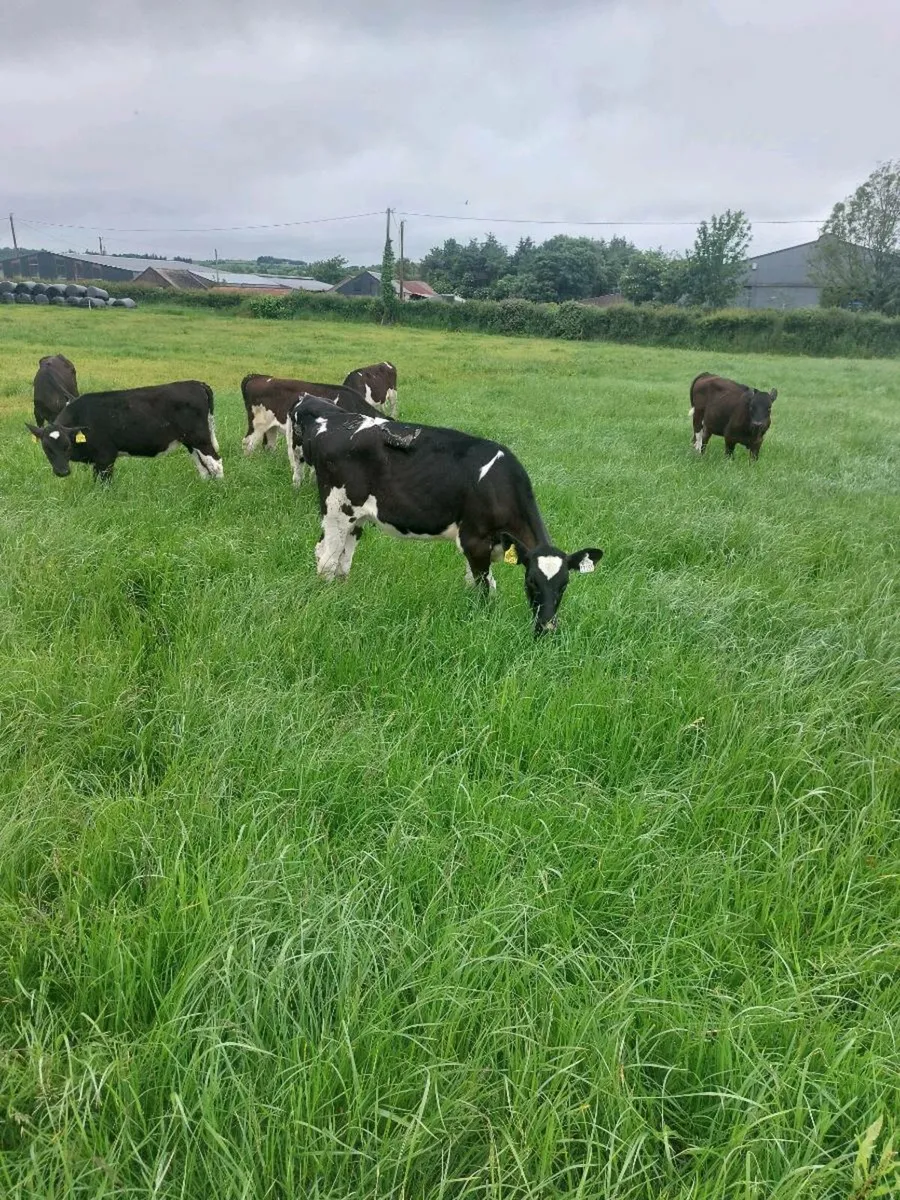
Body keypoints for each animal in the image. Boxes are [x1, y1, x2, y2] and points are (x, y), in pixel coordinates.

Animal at [26, 380, 223, 483]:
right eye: (46, 448)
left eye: (66, 446)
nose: (62, 472)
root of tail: (196, 383)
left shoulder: (105, 456)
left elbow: (103, 482)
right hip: (190, 441)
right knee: (202, 465)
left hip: (200, 438)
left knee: (215, 462)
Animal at [241, 372, 381, 484]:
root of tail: (256, 376)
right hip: (257, 424)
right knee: (248, 443)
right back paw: (248, 462)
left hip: (271, 428)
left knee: (269, 446)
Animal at [291, 395, 603, 636]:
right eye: (531, 582)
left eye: (564, 585)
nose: (546, 629)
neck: (499, 485)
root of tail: (331, 417)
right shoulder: (474, 540)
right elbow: (485, 589)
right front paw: (484, 621)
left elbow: (475, 583)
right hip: (336, 508)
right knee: (326, 558)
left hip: (356, 518)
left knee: (342, 557)